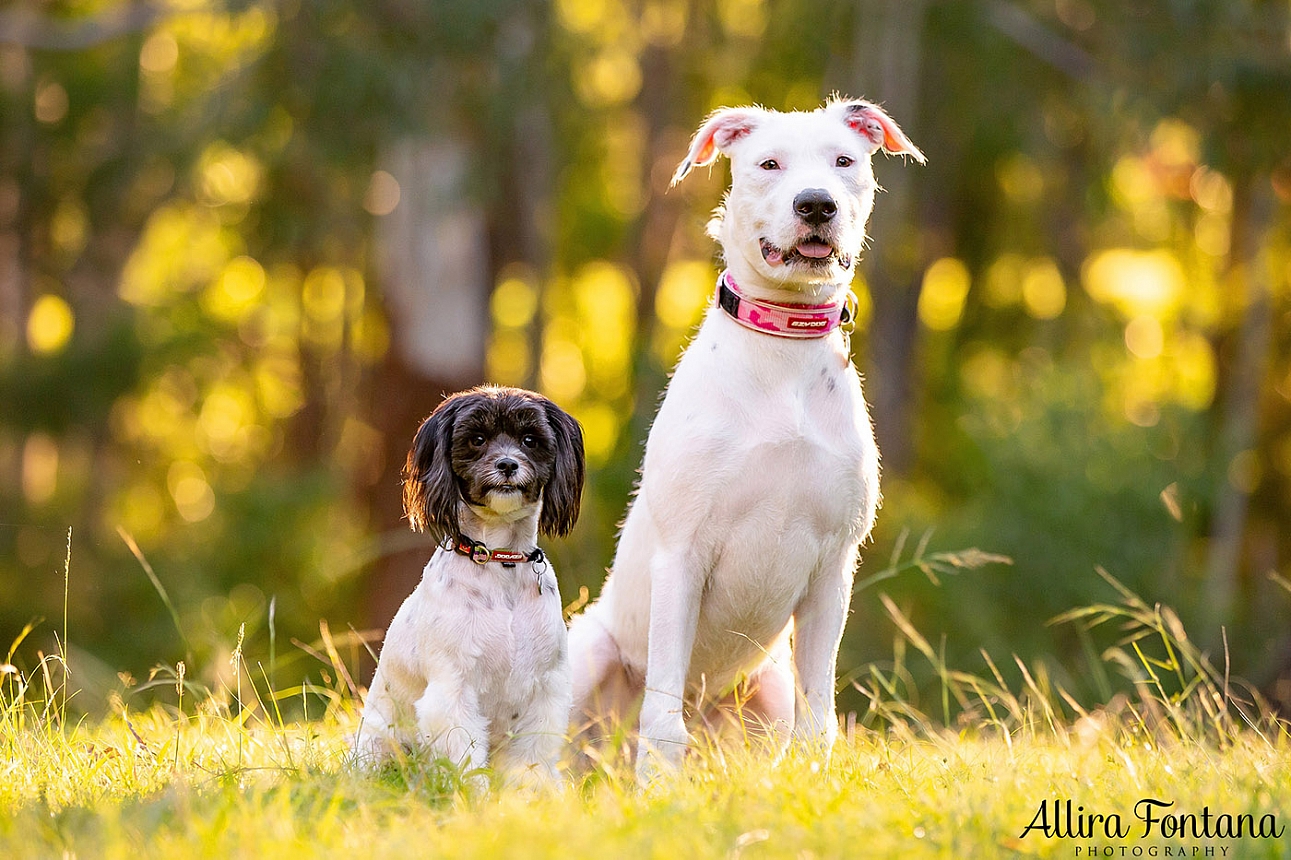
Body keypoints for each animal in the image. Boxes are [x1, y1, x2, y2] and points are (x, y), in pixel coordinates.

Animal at [361, 382, 588, 785]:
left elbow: (531, 762)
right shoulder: (453, 689)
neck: (501, 560)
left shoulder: (546, 690)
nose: (507, 464)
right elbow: (464, 757)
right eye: (477, 439)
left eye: (530, 439)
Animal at [570, 95, 924, 774]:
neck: (782, 345)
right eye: (768, 163)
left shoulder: (831, 571)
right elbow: (663, 718)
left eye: (844, 161)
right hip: (588, 653)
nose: (816, 204)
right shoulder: (682, 554)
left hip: (768, 684)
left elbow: (818, 718)